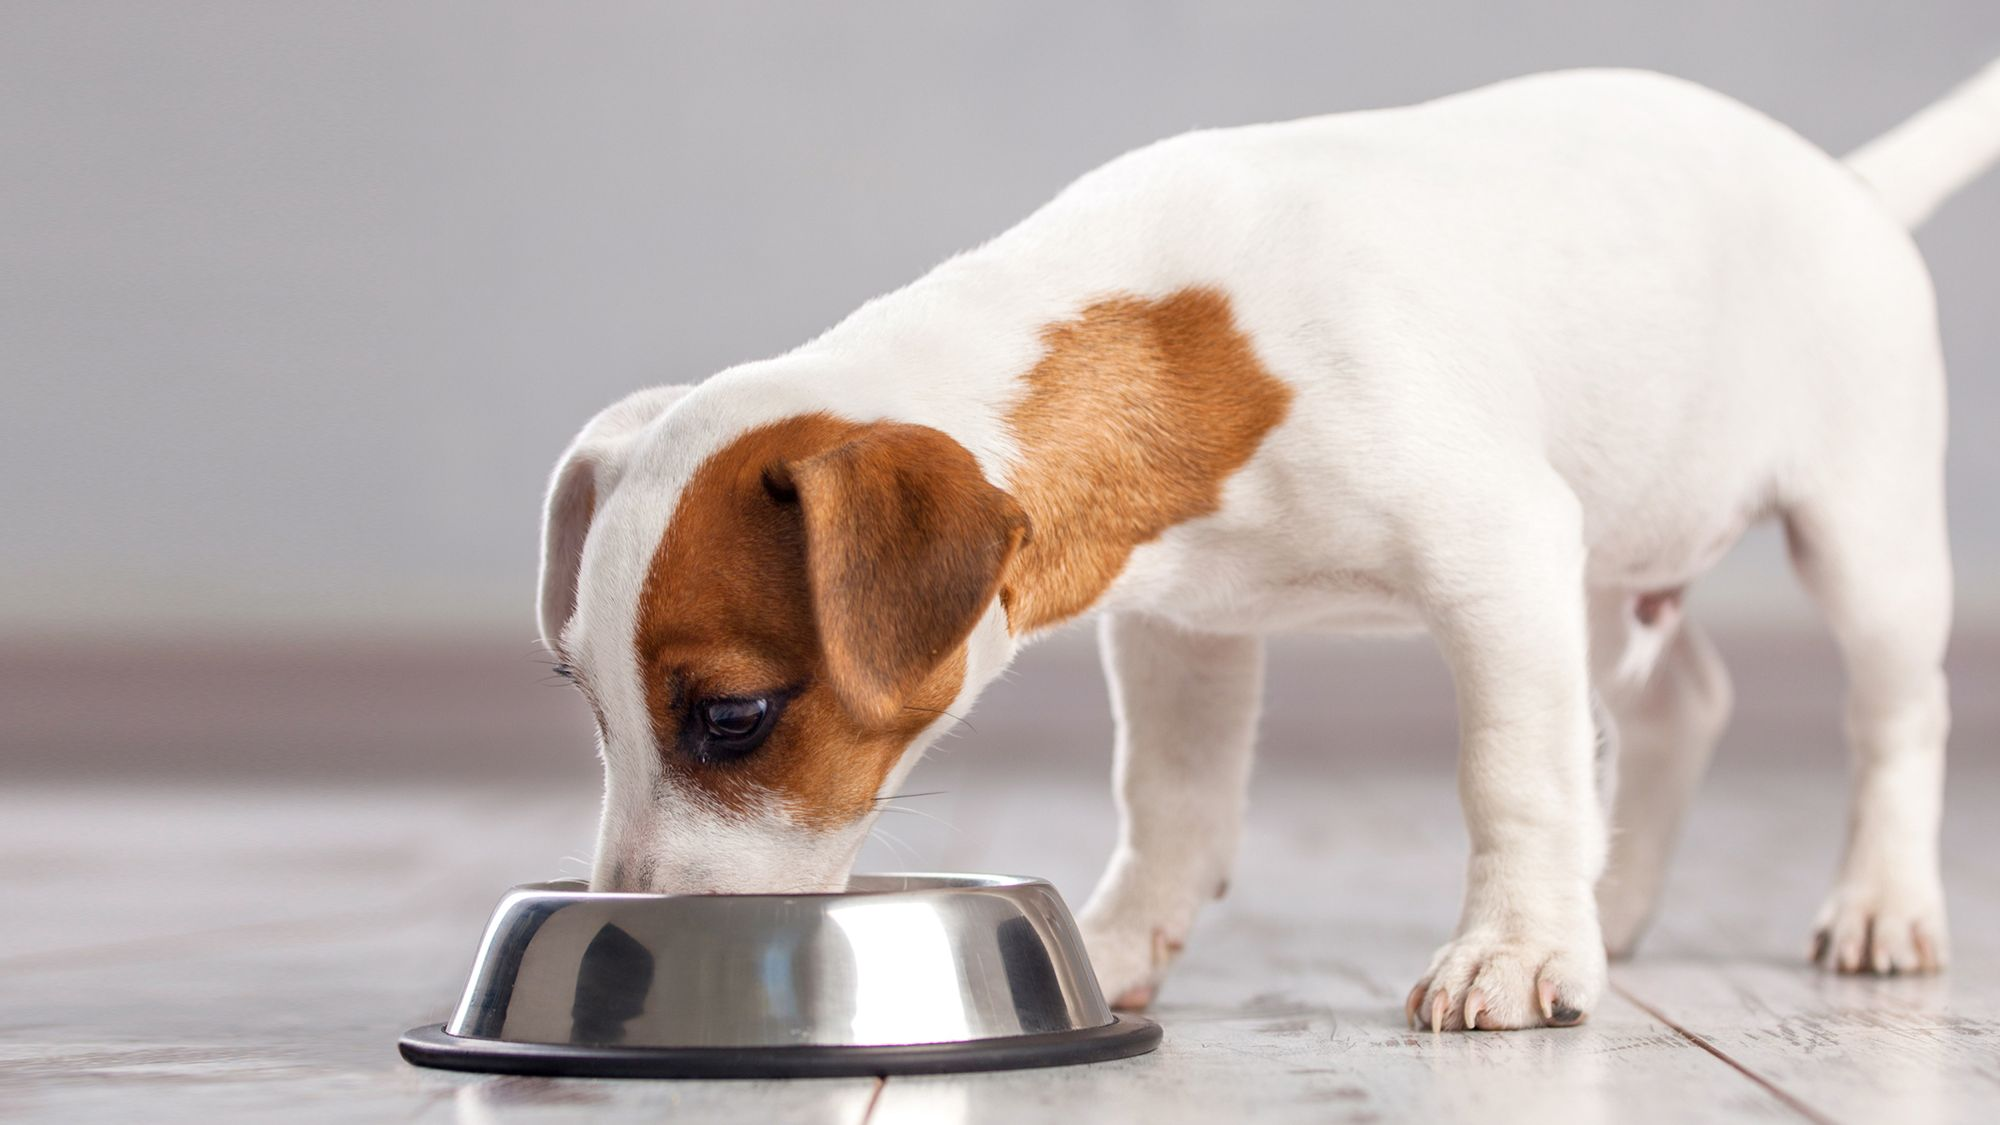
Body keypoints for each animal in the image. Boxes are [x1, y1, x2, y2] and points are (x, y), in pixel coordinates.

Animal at [536, 59, 2000, 1024]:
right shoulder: (1182, 628)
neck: (1194, 343)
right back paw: (1620, 897)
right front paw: (1120, 940)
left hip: (1858, 543)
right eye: (590, 709)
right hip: (1611, 572)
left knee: (1895, 717)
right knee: (1678, 704)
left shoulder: (1497, 557)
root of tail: (1852, 187)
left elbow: (1512, 777)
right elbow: (1172, 799)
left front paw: (1514, 951)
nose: (625, 928)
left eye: (733, 717)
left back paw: (1879, 903)